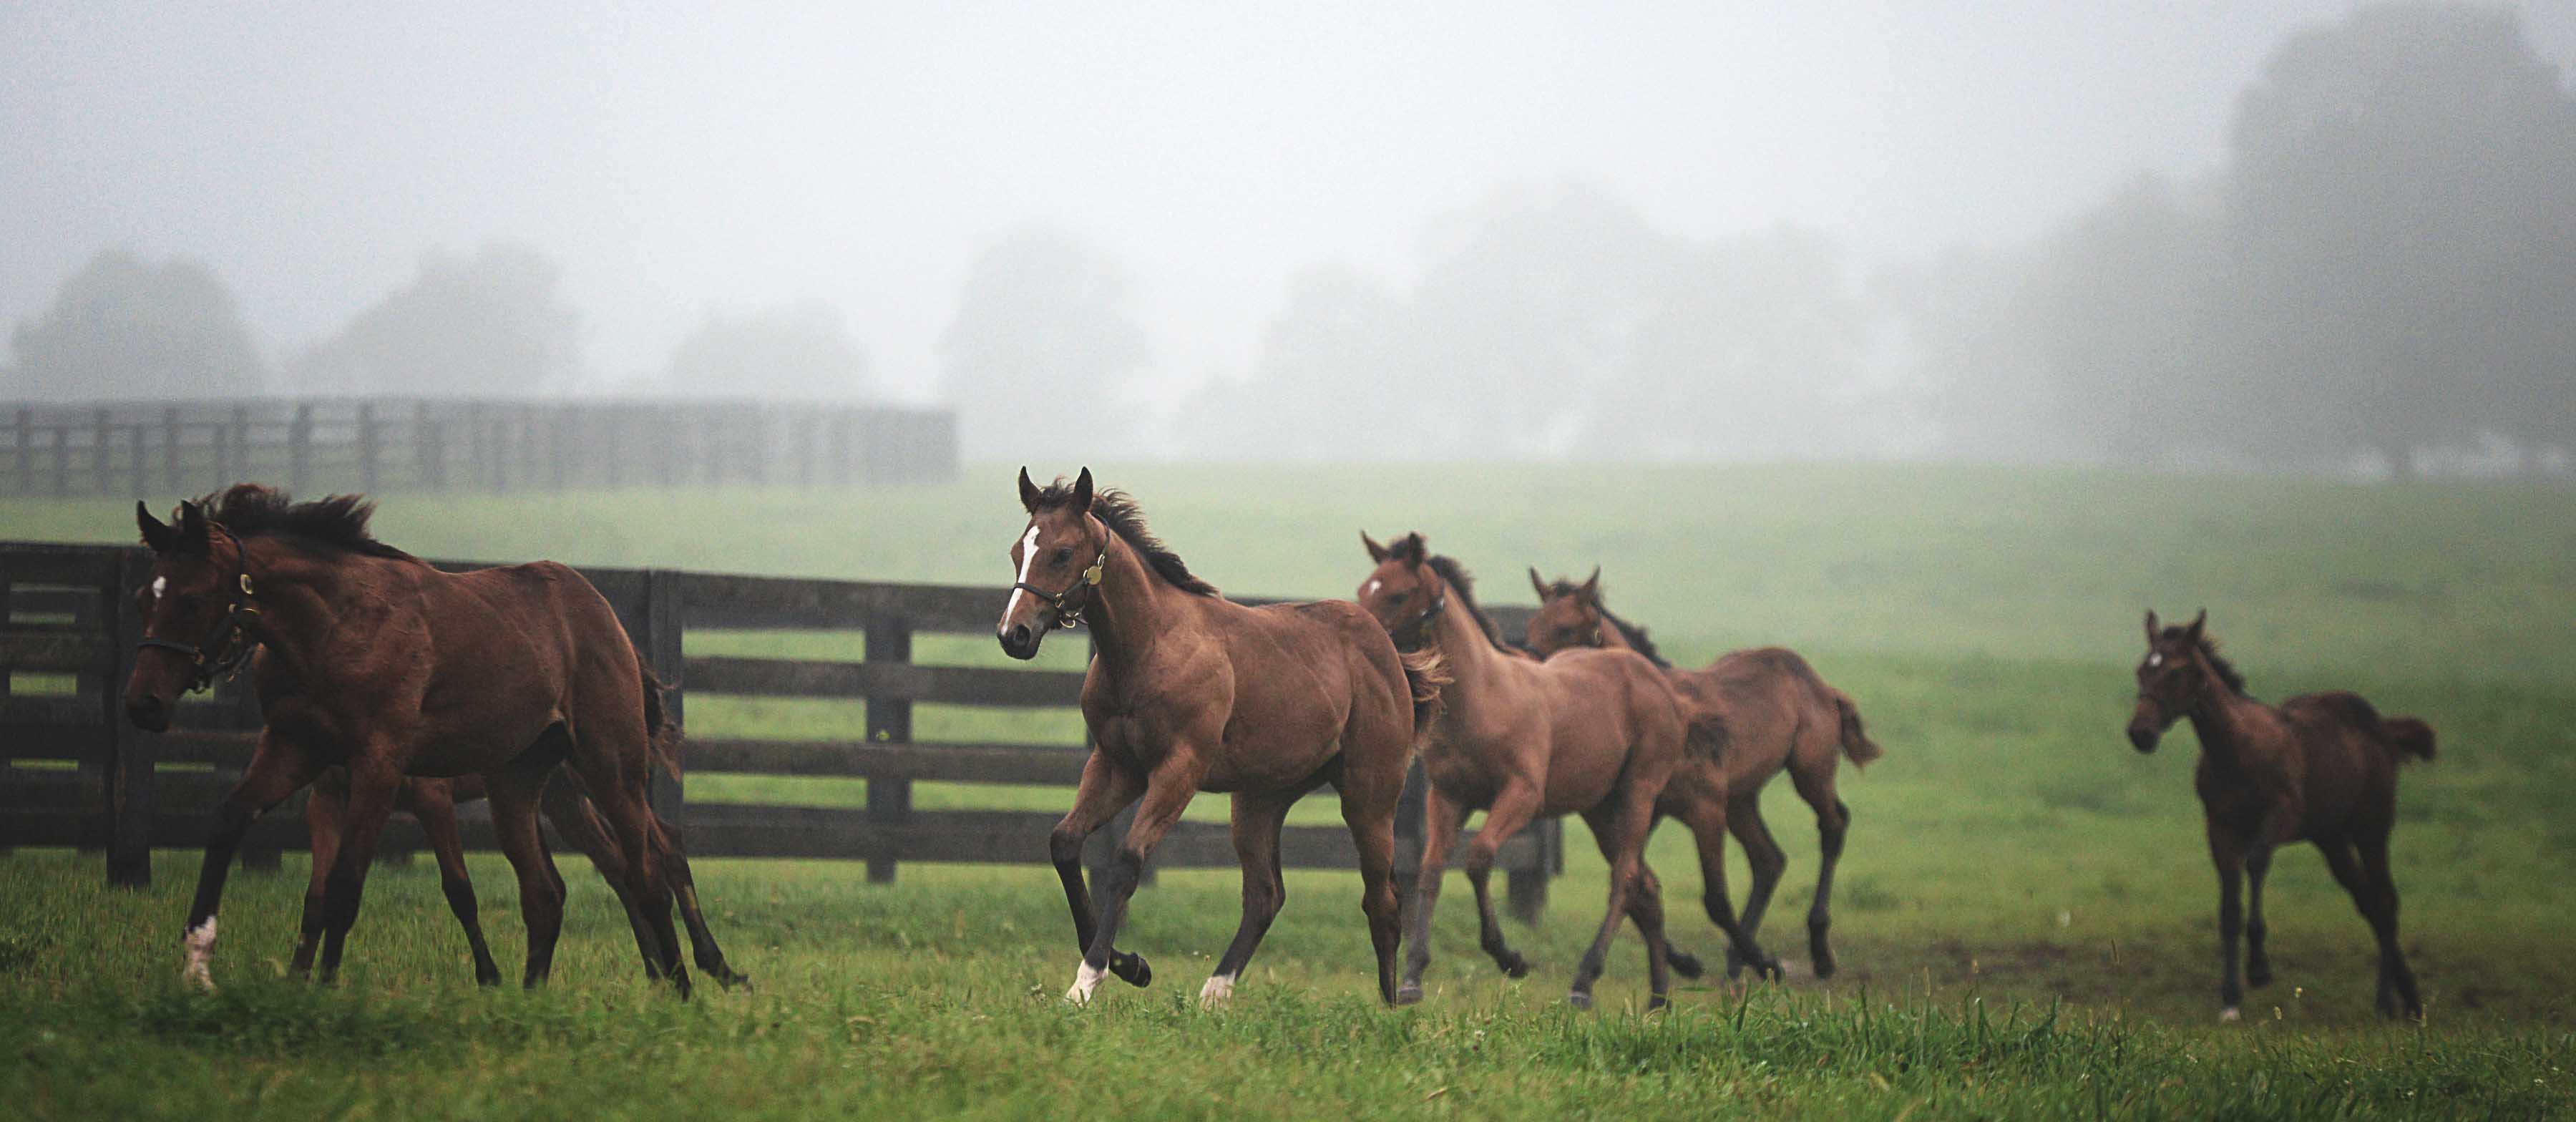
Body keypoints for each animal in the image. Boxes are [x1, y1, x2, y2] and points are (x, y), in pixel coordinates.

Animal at [127, 486, 721, 993]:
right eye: (143, 598)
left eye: (193, 599)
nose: (143, 704)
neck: (337, 627)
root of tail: (605, 616)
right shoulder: (298, 755)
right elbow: (235, 827)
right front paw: (199, 966)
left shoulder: (387, 769)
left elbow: (353, 884)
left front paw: (324, 990)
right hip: (522, 785)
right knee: (548, 892)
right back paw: (536, 996)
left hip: (608, 769)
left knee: (649, 871)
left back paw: (685, 984)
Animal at [994, 465, 1443, 1008]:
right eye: (1017, 552)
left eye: (1061, 553)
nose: (1014, 635)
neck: (1150, 647)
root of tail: (1391, 655)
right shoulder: (1115, 765)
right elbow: (1064, 844)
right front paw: (1133, 967)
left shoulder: (1179, 770)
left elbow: (1126, 863)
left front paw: (1088, 981)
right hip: (1259, 799)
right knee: (1266, 895)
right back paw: (1214, 995)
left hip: (1368, 797)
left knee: (1383, 898)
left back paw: (1389, 1008)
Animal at [1350, 532, 1772, 1008]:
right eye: (1365, 588)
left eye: (1399, 594)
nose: (1365, 637)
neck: (1485, 698)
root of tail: (1665, 689)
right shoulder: (1448, 798)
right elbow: (1432, 870)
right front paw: (1413, 976)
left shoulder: (1522, 794)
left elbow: (1479, 858)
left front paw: (1509, 957)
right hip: (1602, 810)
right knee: (1646, 887)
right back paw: (1660, 994)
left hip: (1639, 793)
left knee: (1626, 879)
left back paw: (1586, 981)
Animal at [1514, 573, 1885, 977]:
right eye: (1531, 625)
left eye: (1566, 629)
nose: (1531, 671)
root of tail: (1819, 684)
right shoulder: (1641, 812)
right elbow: (1634, 881)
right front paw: (1687, 961)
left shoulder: (1704, 810)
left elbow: (1712, 900)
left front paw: (1761, 962)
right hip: (1740, 799)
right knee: (1769, 859)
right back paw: (1739, 959)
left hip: (1809, 772)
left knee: (1833, 825)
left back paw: (1818, 951)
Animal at [2132, 610, 2431, 1019]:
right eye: (2141, 670)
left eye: (2176, 672)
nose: (2140, 733)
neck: (2237, 750)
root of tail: (2384, 729)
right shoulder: (2219, 827)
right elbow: (2229, 908)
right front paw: (2230, 1000)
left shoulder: (2281, 815)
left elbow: (2257, 863)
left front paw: (2259, 968)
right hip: (2331, 838)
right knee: (2368, 900)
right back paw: (2411, 1000)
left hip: (2372, 825)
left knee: (2385, 899)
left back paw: (2388, 1001)